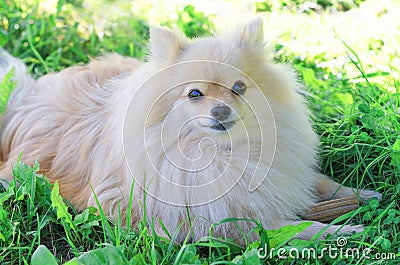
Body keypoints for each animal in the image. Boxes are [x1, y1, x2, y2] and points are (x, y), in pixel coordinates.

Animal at [0, 18, 382, 241]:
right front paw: (347, 230)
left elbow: (324, 183)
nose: (221, 109)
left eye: (239, 88)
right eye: (194, 94)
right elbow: (296, 228)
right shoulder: (224, 221)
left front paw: (363, 195)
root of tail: (23, 102)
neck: (222, 151)